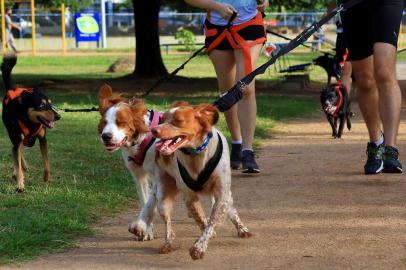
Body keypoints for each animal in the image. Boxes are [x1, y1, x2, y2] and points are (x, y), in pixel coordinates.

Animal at [0, 54, 60, 192]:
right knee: (16, 151)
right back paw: (18, 171)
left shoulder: (43, 139)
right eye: (42, 106)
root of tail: (12, 89)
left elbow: (46, 162)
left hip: (27, 140)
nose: (58, 116)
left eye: (50, 104)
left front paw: (46, 178)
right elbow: (17, 158)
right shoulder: (17, 139)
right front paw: (20, 185)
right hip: (14, 134)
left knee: (20, 151)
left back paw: (22, 168)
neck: (30, 123)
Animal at [98, 85, 160, 240]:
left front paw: (140, 226)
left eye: (121, 123)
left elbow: (150, 204)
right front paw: (147, 230)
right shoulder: (138, 175)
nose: (106, 136)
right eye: (104, 122)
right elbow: (145, 201)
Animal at [132, 102, 252, 260]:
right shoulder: (189, 197)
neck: (196, 154)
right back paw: (168, 244)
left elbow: (212, 222)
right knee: (169, 226)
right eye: (162, 119)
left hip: (224, 195)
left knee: (231, 210)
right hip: (163, 196)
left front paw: (199, 247)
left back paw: (242, 229)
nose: (154, 130)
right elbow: (202, 220)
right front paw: (201, 242)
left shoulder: (222, 194)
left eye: (178, 120)